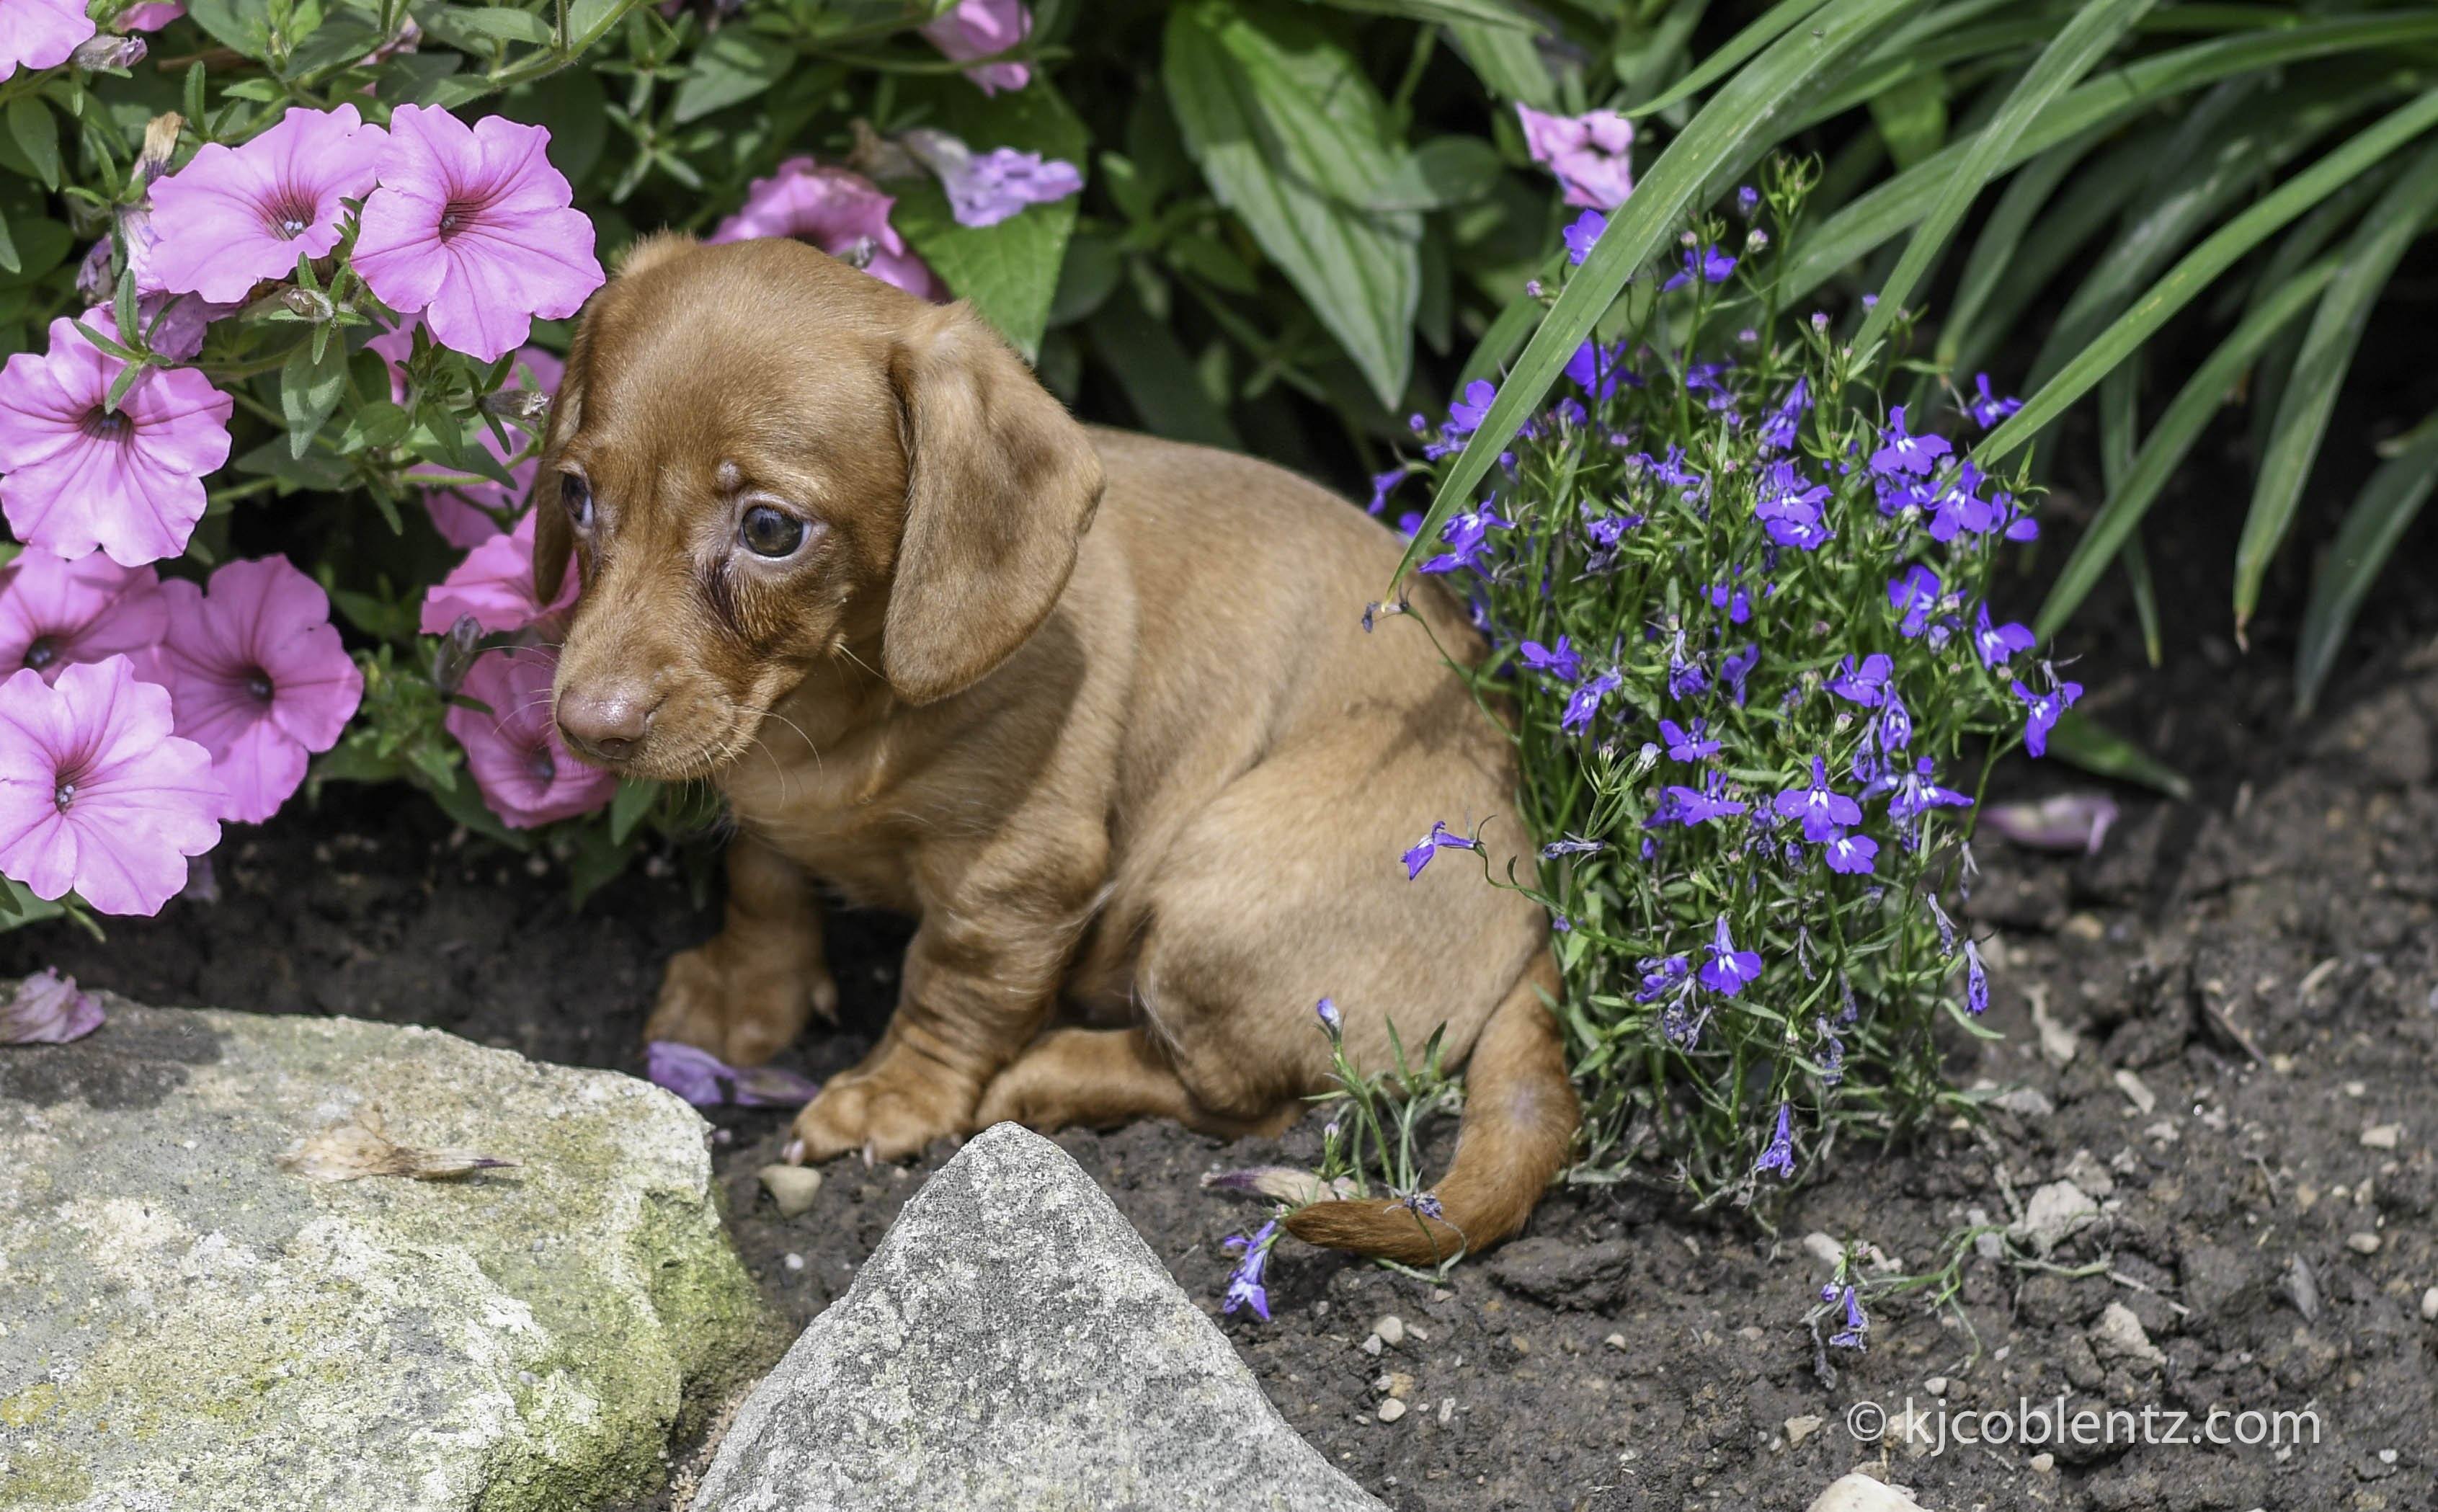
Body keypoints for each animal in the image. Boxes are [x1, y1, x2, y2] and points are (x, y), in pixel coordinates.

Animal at [529, 236, 1580, 1268]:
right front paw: (745, 1003)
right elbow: (764, 886)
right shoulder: (769, 805)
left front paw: (894, 1097)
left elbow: (950, 988)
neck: (835, 702)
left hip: (1214, 896)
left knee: (1241, 1103)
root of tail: (1532, 911)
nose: (586, 725)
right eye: (575, 493)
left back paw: (1048, 1074)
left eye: (769, 529)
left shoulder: (1014, 877)